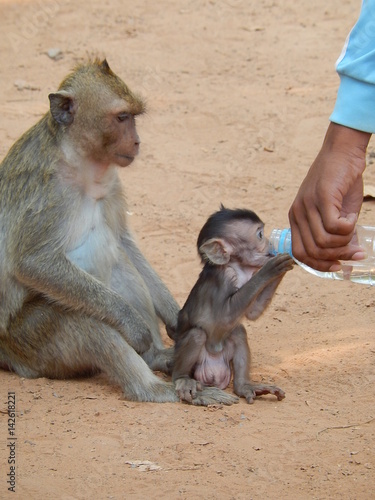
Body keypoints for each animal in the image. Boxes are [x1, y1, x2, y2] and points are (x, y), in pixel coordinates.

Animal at [0, 57, 238, 406]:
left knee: (117, 258)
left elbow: (124, 242)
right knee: (84, 317)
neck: (81, 162)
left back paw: (158, 358)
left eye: (134, 117)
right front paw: (134, 328)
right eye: (122, 117)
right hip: (29, 346)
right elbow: (32, 262)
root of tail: (7, 358)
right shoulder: (45, 193)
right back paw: (155, 388)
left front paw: (177, 319)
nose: (137, 141)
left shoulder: (112, 184)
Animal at [173, 207, 294, 406]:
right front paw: (271, 268)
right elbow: (224, 318)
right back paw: (182, 378)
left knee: (238, 332)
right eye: (260, 234)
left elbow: (252, 313)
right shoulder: (224, 278)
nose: (271, 242)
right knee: (198, 334)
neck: (238, 266)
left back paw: (244, 386)